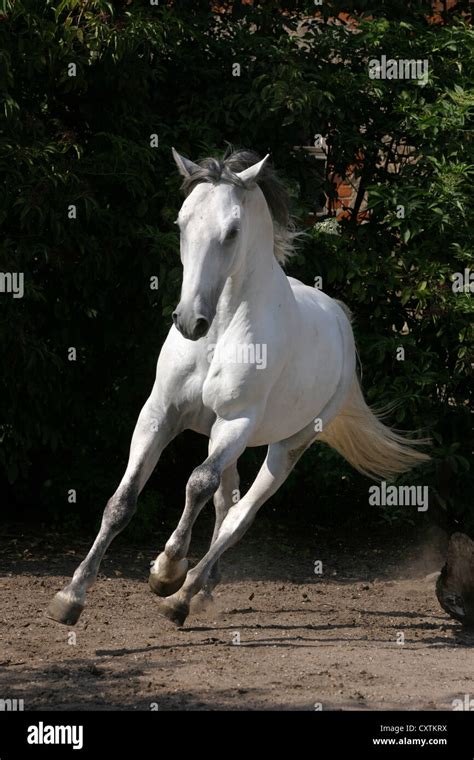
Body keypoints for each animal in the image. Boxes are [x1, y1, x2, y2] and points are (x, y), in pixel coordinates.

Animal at [46, 150, 428, 628]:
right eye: (181, 222)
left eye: (232, 231)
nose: (190, 321)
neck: (221, 330)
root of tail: (340, 320)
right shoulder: (160, 413)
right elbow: (123, 501)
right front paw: (70, 596)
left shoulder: (237, 421)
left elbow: (196, 484)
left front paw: (166, 571)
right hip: (219, 436)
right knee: (226, 502)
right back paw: (200, 590)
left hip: (284, 445)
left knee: (240, 516)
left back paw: (181, 596)